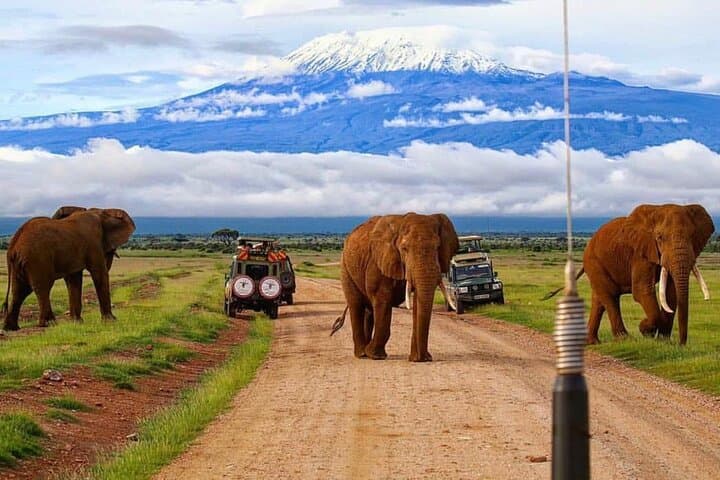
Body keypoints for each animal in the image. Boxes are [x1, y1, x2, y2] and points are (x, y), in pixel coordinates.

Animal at [2, 206, 136, 331]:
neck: (101, 212)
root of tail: (13, 243)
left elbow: (74, 280)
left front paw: (77, 322)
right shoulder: (93, 243)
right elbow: (99, 273)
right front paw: (111, 321)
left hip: (20, 262)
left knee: (20, 291)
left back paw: (11, 328)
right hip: (37, 258)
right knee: (42, 287)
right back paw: (49, 323)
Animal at [333, 213, 459, 362]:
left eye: (437, 247)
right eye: (404, 249)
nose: (424, 358)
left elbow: (418, 301)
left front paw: (417, 359)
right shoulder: (378, 262)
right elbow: (383, 300)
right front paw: (376, 356)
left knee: (369, 310)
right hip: (345, 267)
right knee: (356, 305)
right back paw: (362, 354)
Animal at [551, 204, 714, 345]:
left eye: (692, 236)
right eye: (659, 237)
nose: (681, 344)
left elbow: (670, 293)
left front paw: (663, 341)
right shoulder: (640, 254)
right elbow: (642, 291)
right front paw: (645, 330)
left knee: (599, 299)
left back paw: (592, 342)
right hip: (594, 262)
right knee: (610, 296)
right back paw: (624, 339)